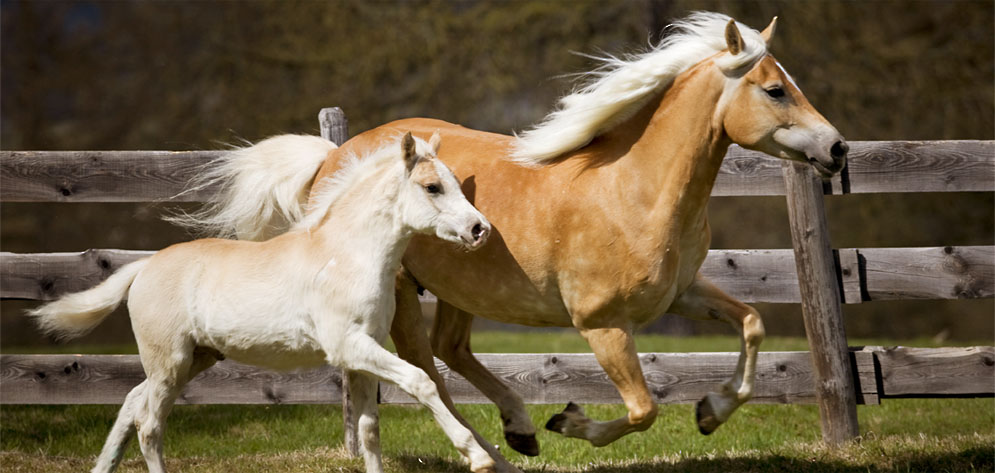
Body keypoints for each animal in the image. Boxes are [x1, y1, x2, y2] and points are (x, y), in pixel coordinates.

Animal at [28, 134, 498, 472]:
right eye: (432, 187)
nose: (480, 230)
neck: (345, 256)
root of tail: (144, 267)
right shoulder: (349, 347)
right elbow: (421, 381)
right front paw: (478, 456)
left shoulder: (362, 356)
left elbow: (368, 431)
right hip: (169, 362)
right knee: (149, 426)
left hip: (195, 358)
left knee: (131, 403)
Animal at [177, 12, 848, 462]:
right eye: (775, 89)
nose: (837, 148)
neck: (634, 190)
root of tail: (332, 158)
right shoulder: (601, 324)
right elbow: (643, 409)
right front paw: (571, 423)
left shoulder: (681, 294)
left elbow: (752, 322)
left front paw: (711, 412)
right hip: (400, 291)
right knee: (424, 365)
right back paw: (495, 447)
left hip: (462, 288)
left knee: (449, 351)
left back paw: (518, 429)